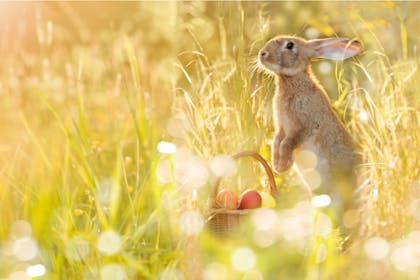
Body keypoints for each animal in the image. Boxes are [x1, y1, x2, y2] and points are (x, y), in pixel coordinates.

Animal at [258, 35, 362, 222]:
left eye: (290, 45)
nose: (262, 54)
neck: (289, 79)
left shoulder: (302, 128)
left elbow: (288, 143)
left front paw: (283, 165)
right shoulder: (281, 128)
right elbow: (277, 141)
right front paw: (277, 165)